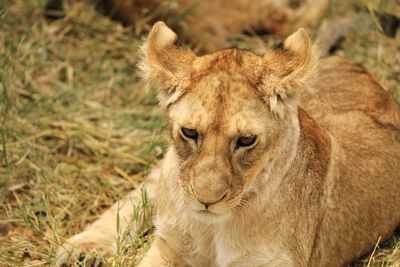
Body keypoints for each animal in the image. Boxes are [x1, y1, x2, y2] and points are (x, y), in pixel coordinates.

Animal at [57, 22, 400, 266]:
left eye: (246, 140)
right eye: (190, 132)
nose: (207, 201)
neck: (212, 228)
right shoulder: (169, 247)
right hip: (165, 172)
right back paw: (81, 250)